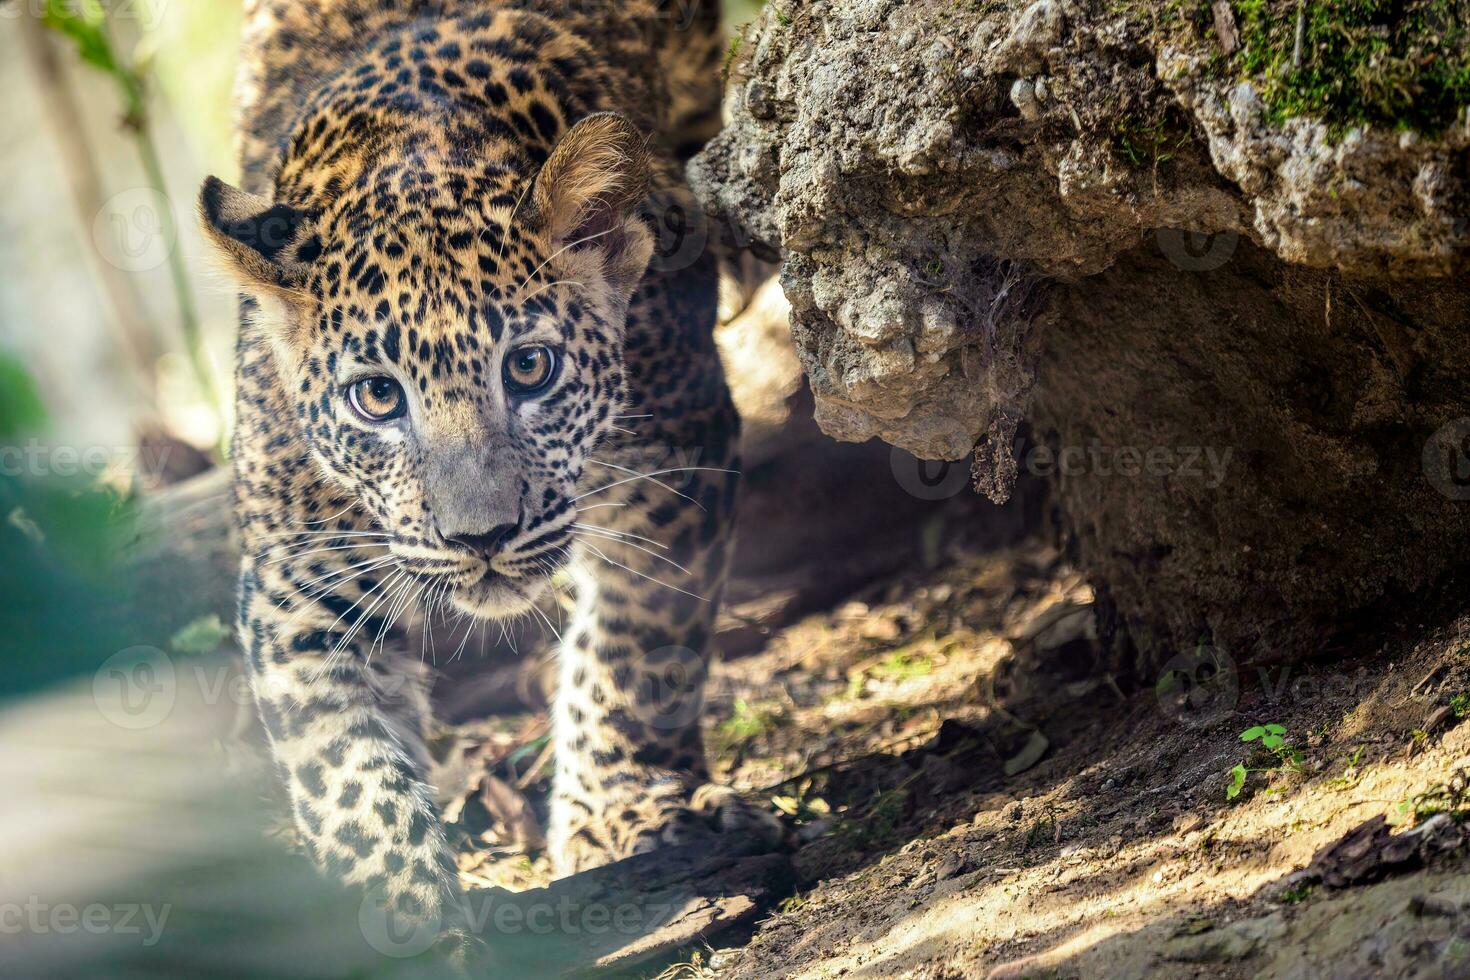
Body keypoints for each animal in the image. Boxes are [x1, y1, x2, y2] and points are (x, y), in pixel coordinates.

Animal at [202, 0, 787, 952]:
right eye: (377, 397)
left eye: (530, 369)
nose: (481, 538)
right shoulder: (298, 576)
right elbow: (349, 780)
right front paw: (401, 922)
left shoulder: (676, 458)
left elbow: (635, 654)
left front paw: (621, 814)